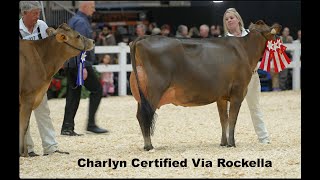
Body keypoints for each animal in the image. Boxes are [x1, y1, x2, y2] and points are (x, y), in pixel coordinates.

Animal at [129, 20, 282, 150]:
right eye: (272, 33)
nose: (278, 35)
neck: (245, 49)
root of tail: (144, 38)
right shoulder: (238, 92)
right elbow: (232, 119)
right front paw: (232, 143)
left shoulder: (221, 96)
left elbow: (224, 120)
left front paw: (223, 143)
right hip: (155, 90)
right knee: (145, 115)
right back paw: (149, 146)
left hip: (141, 94)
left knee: (140, 115)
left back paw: (146, 145)